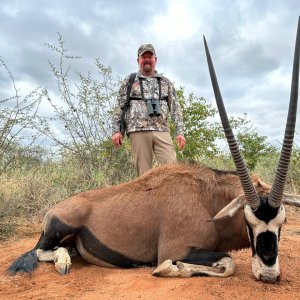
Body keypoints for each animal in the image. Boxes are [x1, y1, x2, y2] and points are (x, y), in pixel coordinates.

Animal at [8, 18, 298, 284]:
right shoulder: (176, 248)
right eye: (249, 222)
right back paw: (63, 262)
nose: (269, 275)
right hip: (59, 228)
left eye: (282, 222)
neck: (208, 198)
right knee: (39, 251)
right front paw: (169, 269)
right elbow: (226, 263)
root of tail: (56, 208)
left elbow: (227, 261)